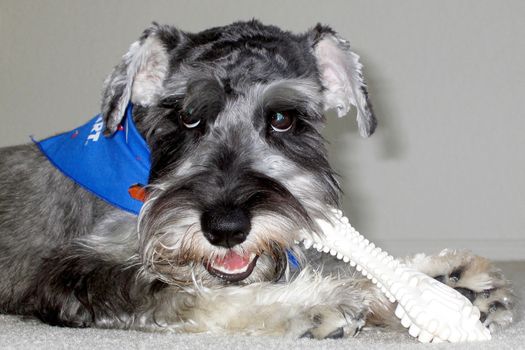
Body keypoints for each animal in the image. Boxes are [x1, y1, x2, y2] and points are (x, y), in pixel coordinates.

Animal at [0, 20, 516, 338]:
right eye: (187, 117)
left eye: (283, 119)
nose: (226, 228)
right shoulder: (73, 273)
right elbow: (188, 292)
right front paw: (319, 301)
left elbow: (334, 259)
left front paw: (449, 280)